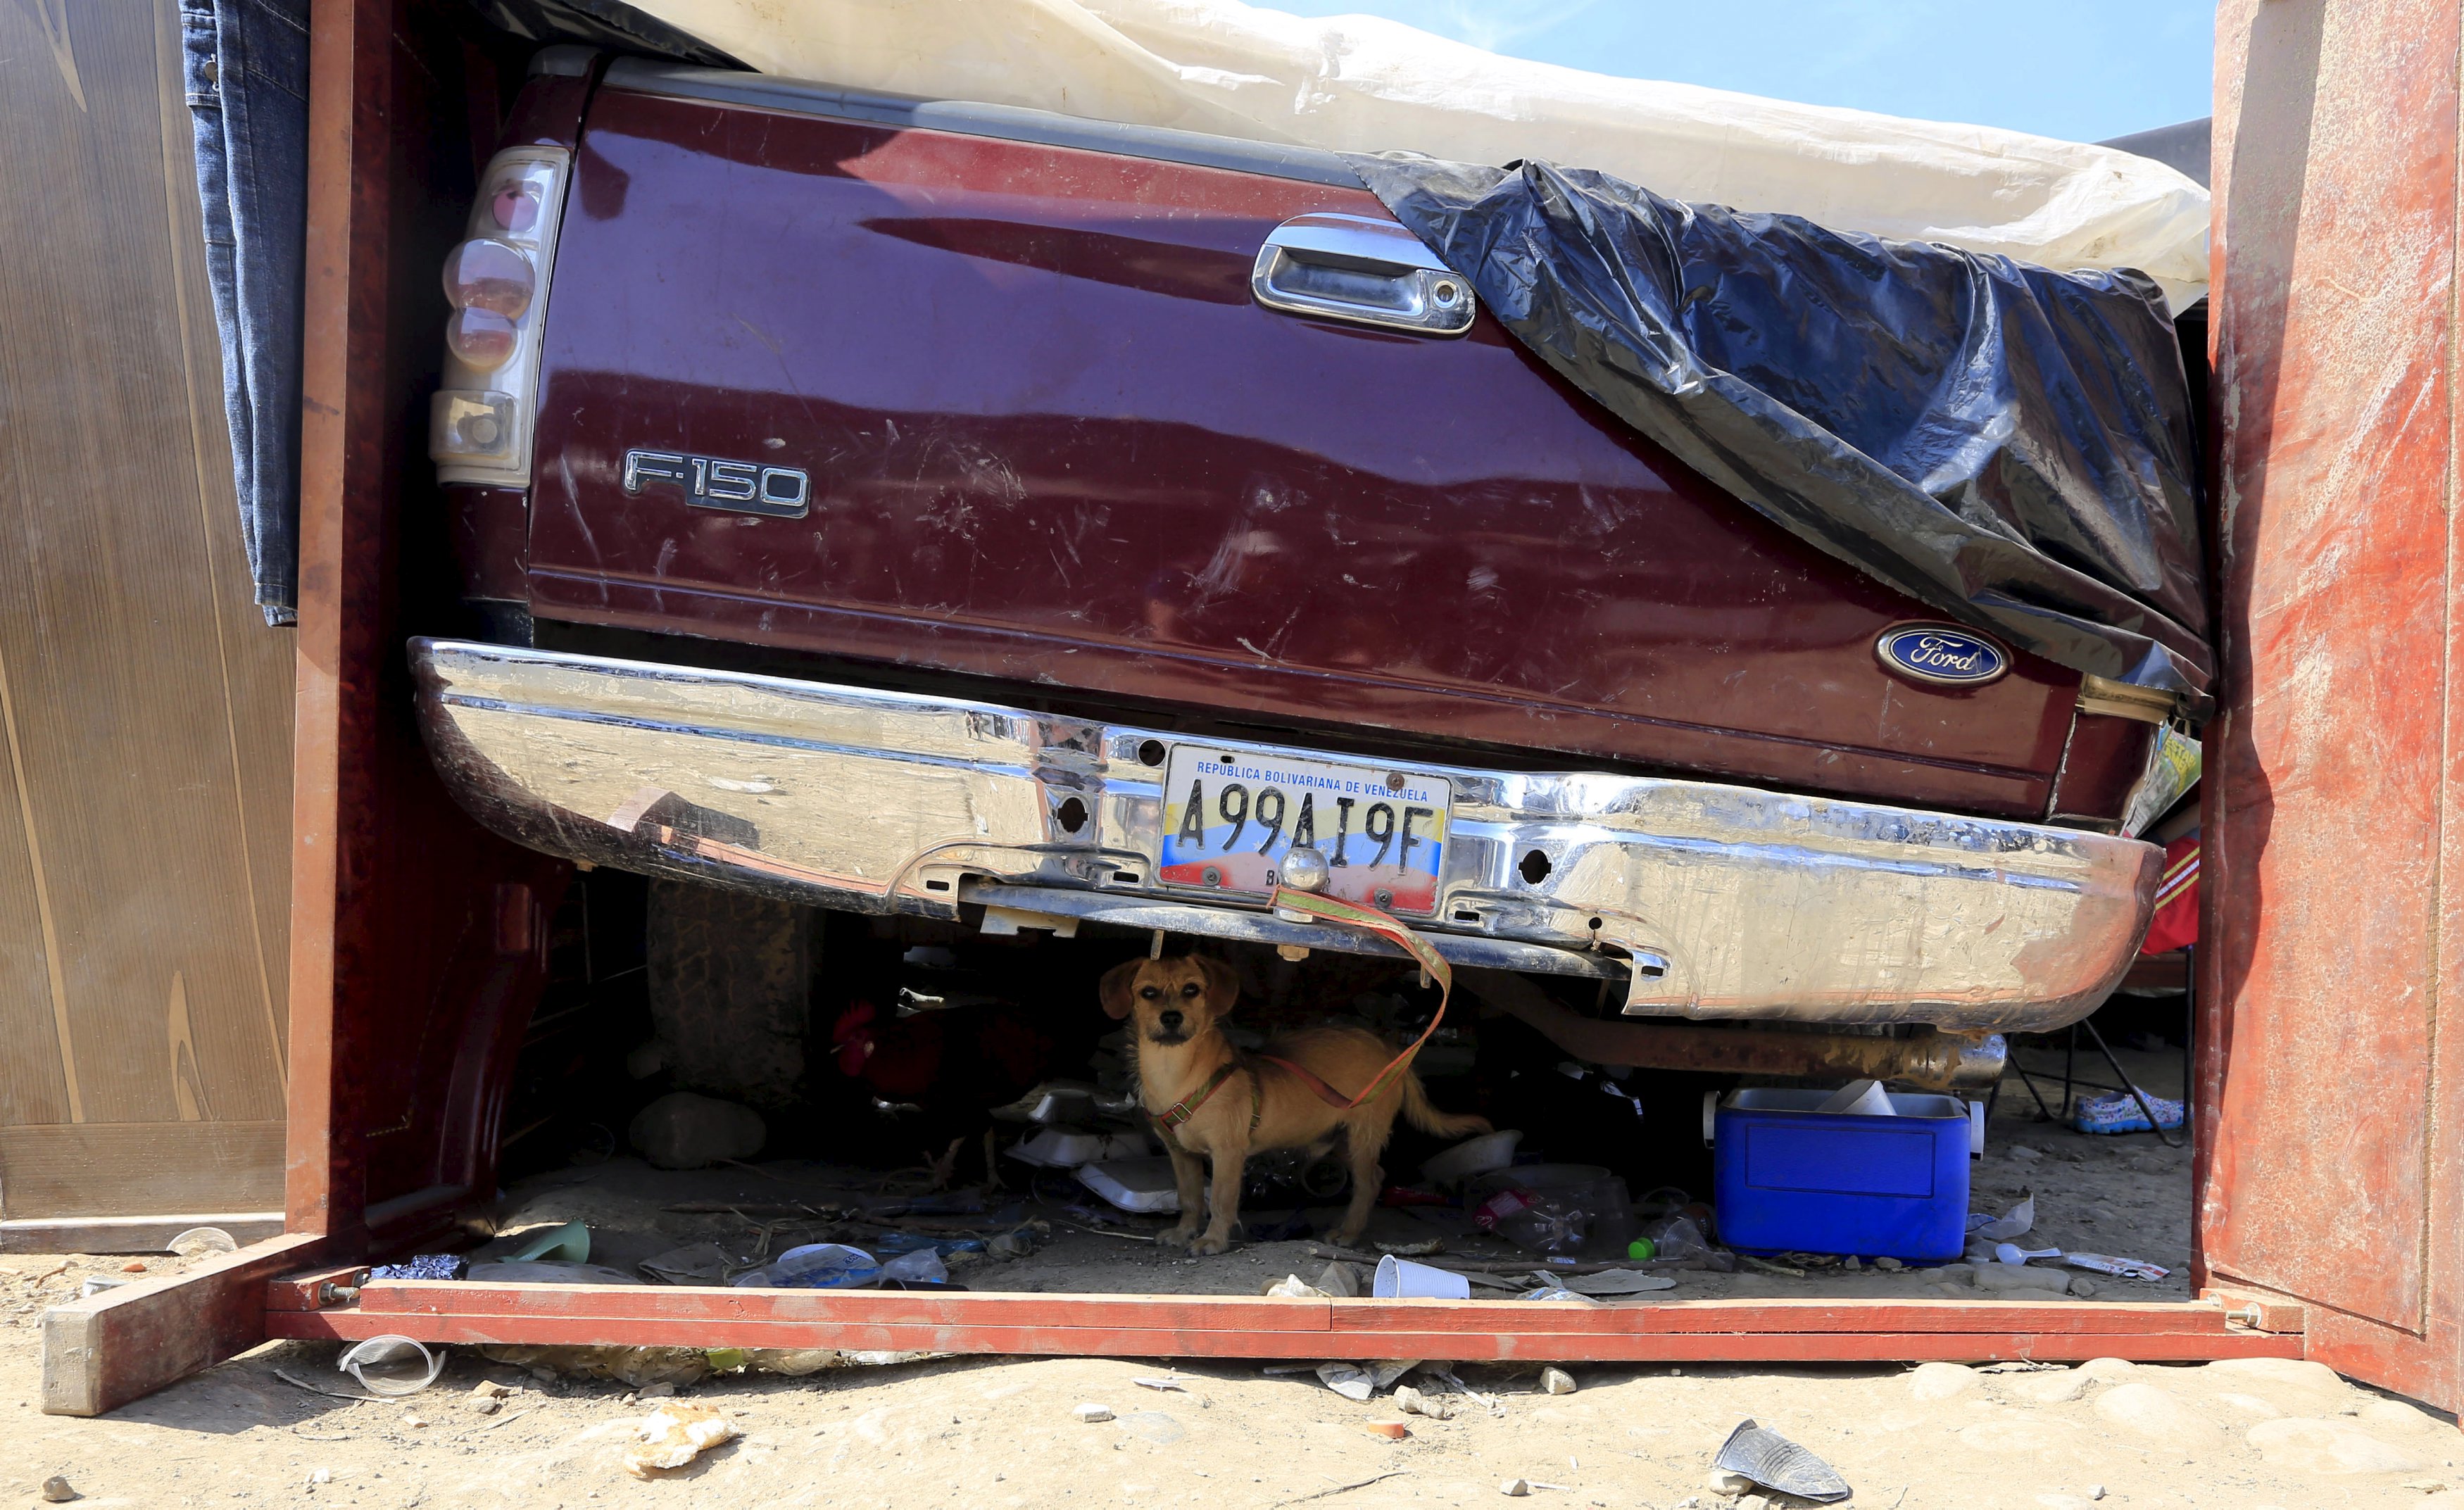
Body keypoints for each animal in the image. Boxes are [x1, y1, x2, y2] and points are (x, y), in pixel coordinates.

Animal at [1109, 955, 1488, 1246]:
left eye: (1192, 989)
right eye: (1148, 993)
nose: (1171, 1017)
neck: (1176, 1071)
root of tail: (1390, 1051)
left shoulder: (1228, 1153)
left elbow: (1219, 1201)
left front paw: (1213, 1241)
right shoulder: (1181, 1154)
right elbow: (1188, 1198)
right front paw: (1183, 1233)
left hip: (1363, 1134)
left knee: (1368, 1183)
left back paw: (1348, 1234)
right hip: (1341, 1139)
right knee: (1376, 1175)